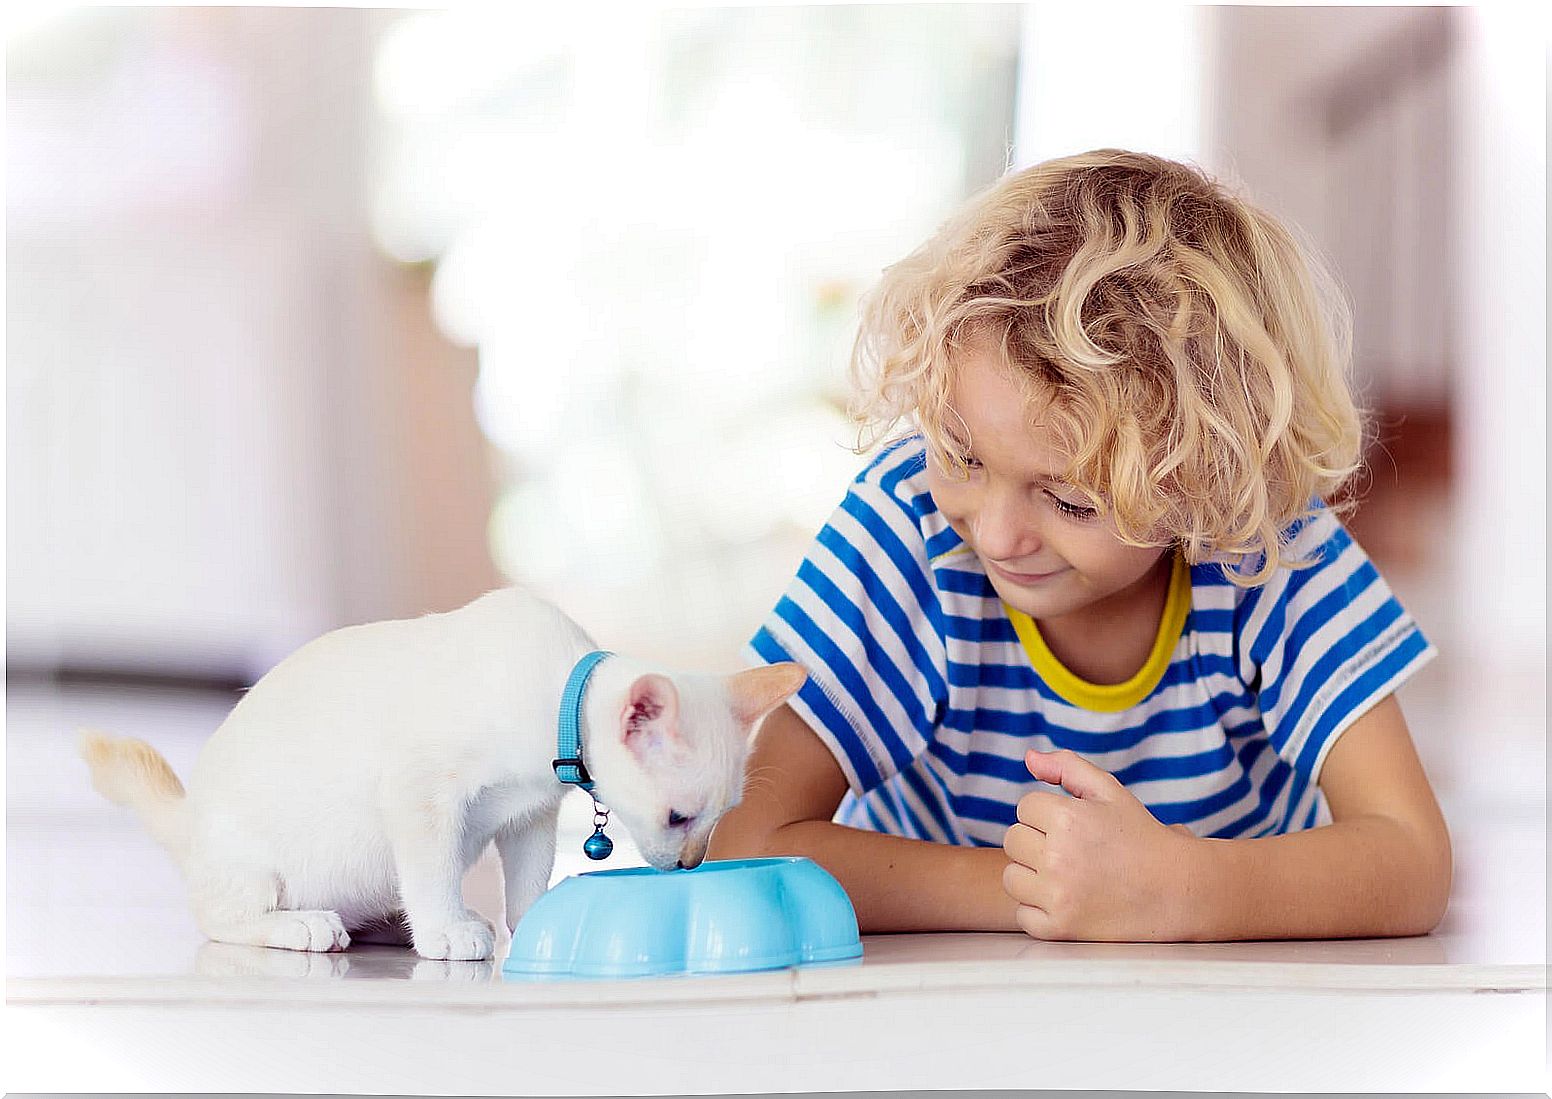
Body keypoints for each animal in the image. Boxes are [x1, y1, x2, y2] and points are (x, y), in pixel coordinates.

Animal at [78, 586, 807, 956]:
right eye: (678, 817)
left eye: (717, 820)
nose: (689, 864)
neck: (552, 693)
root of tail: (188, 818)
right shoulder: (421, 795)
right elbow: (432, 874)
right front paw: (445, 931)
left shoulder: (530, 816)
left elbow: (529, 883)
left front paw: (536, 922)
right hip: (254, 870)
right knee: (221, 917)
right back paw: (304, 925)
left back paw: (381, 925)